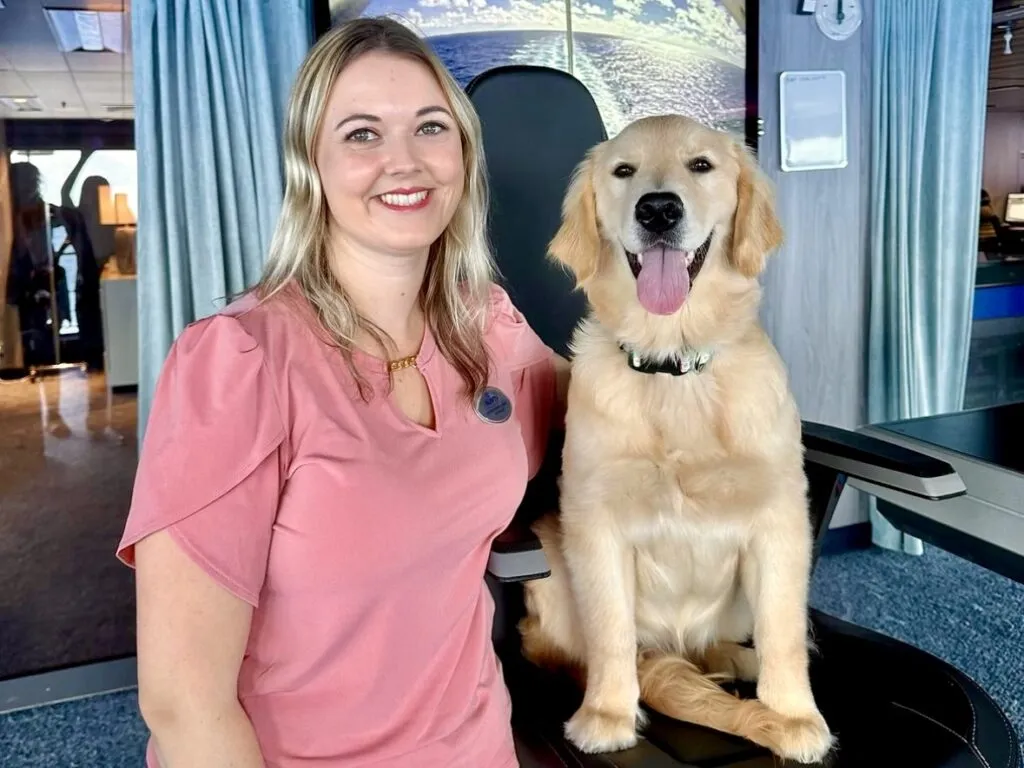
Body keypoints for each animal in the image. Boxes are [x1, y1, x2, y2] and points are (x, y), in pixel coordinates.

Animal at [520, 115, 831, 765]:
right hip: (551, 572)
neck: (673, 363)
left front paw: (793, 714)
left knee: (724, 644)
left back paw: (740, 661)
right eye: (624, 171)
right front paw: (607, 715)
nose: (658, 209)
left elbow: (783, 629)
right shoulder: (595, 522)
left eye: (701, 165)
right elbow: (612, 630)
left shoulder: (781, 516)